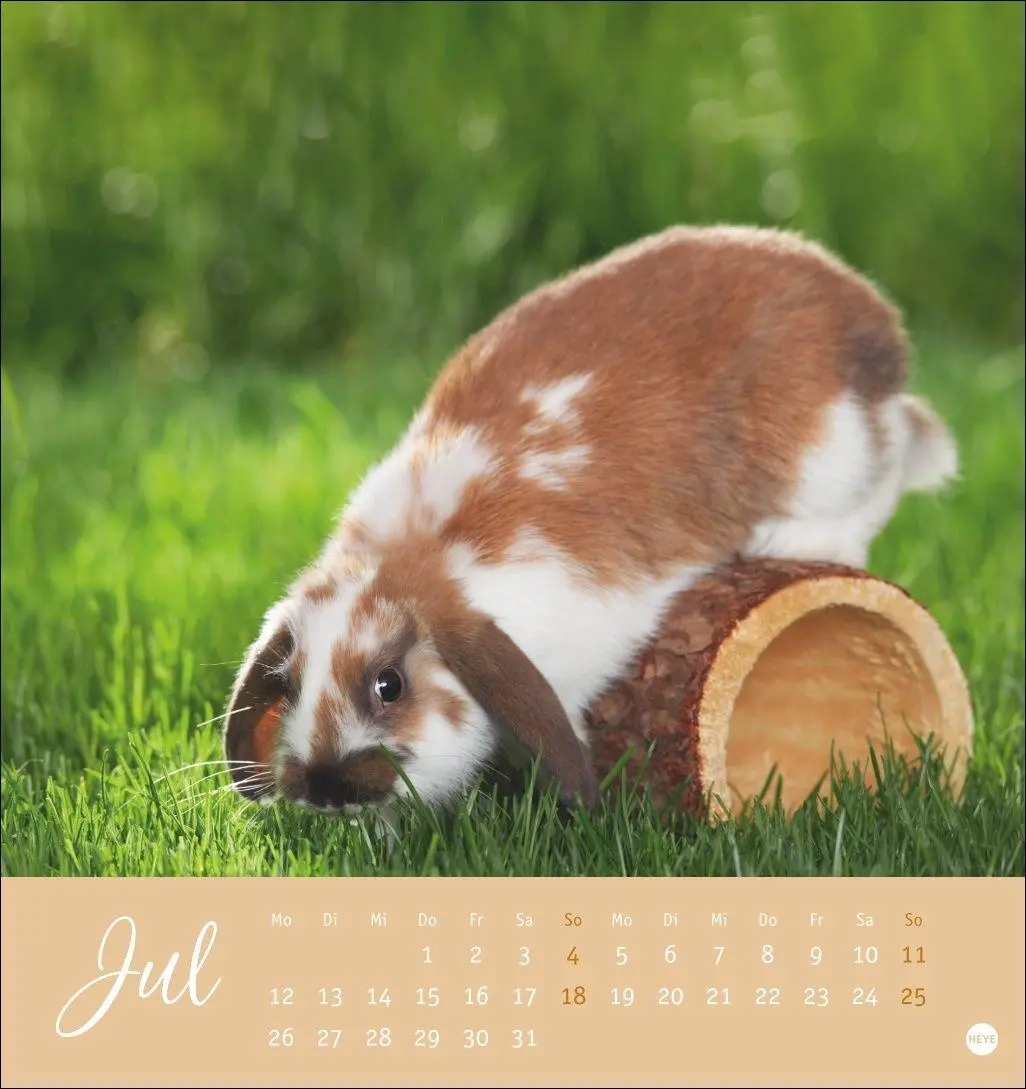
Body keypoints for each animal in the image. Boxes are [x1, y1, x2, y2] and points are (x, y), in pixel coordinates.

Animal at [222, 224, 958, 815]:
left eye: (389, 685)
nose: (325, 789)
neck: (424, 558)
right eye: (289, 684)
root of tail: (879, 334)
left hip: (834, 455)